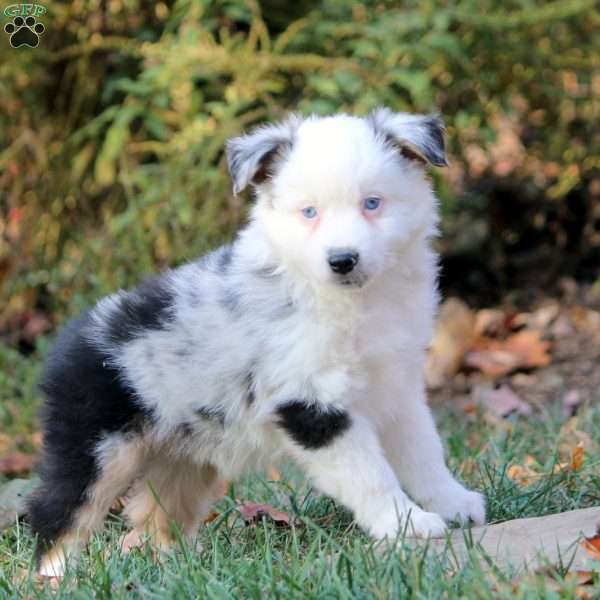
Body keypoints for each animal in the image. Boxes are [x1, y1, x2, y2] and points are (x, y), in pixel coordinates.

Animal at [29, 109, 488, 576]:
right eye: (309, 212)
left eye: (372, 203)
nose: (342, 260)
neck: (354, 300)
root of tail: (69, 340)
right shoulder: (311, 404)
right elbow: (370, 475)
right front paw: (406, 524)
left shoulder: (396, 387)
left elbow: (424, 452)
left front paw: (454, 504)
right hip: (96, 448)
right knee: (57, 510)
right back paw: (57, 575)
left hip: (185, 456)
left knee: (155, 515)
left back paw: (176, 568)